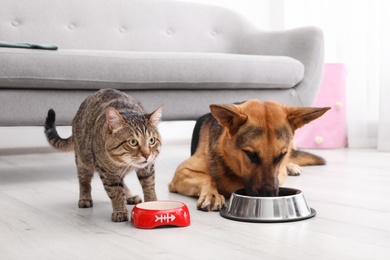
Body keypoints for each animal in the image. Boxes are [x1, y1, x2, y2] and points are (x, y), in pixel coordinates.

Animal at [44, 89, 163, 221]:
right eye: (133, 142)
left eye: (151, 140)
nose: (147, 155)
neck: (123, 163)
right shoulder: (107, 172)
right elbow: (115, 191)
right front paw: (120, 210)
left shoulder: (148, 168)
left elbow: (149, 185)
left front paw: (153, 203)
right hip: (83, 159)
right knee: (84, 180)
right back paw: (85, 197)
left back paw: (129, 195)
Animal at [169, 99, 330, 211]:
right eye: (251, 154)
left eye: (281, 155)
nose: (268, 197)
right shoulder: (181, 172)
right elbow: (207, 178)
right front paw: (211, 194)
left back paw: (291, 166)